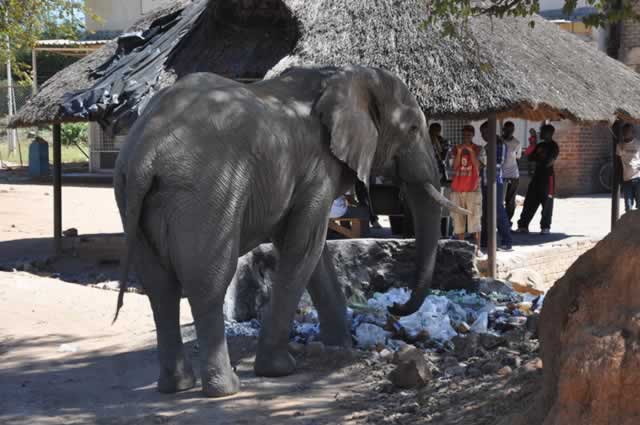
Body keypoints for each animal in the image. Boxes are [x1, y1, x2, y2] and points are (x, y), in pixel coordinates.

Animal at [113, 65, 466, 397]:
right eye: (413, 129)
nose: (394, 309)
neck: (342, 75)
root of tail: (145, 151)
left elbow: (313, 251)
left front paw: (343, 347)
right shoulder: (318, 167)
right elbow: (302, 246)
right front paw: (280, 369)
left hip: (132, 196)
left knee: (160, 289)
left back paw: (177, 386)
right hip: (206, 192)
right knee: (208, 281)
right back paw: (226, 388)